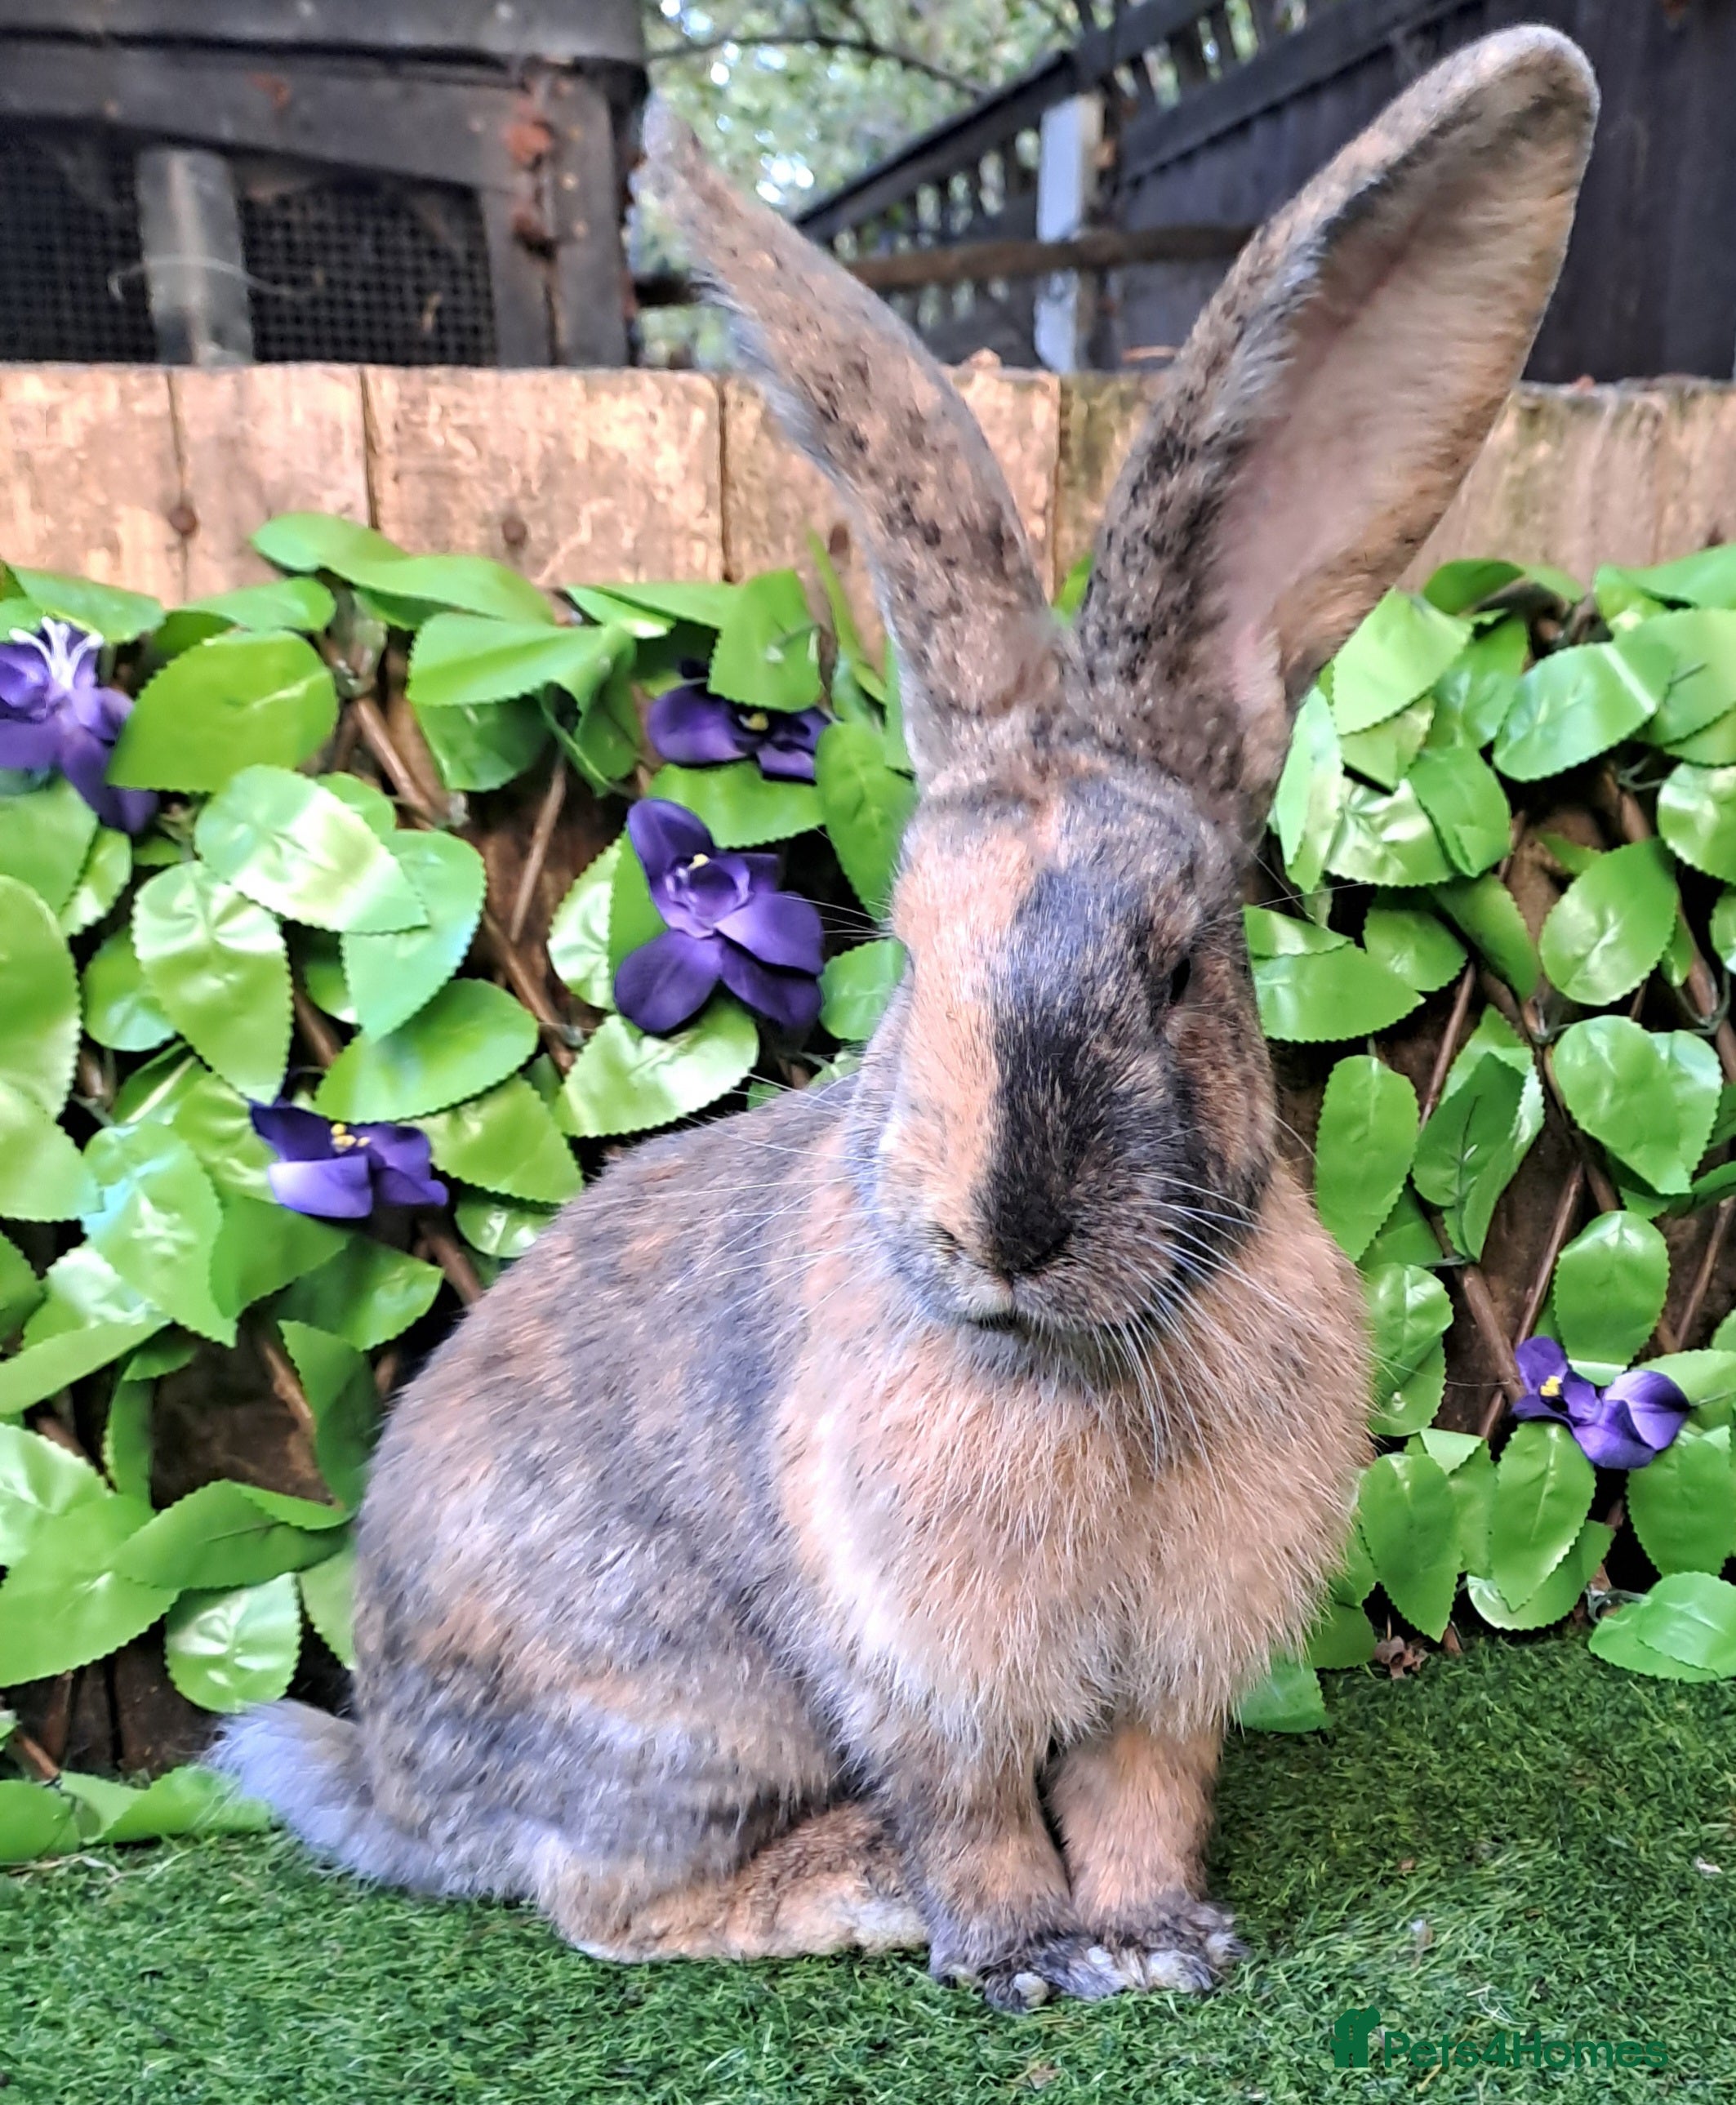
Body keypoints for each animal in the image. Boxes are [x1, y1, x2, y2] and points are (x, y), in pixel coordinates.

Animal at [214, 29, 1596, 2010]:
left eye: (1181, 967)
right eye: (909, 962)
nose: (999, 1230)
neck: (1076, 1358)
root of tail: (393, 1778)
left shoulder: (1165, 1673)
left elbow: (1139, 1794)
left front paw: (1157, 1944)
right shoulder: (920, 1662)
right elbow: (976, 1808)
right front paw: (1017, 1959)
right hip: (682, 1717)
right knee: (600, 1899)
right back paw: (850, 1886)